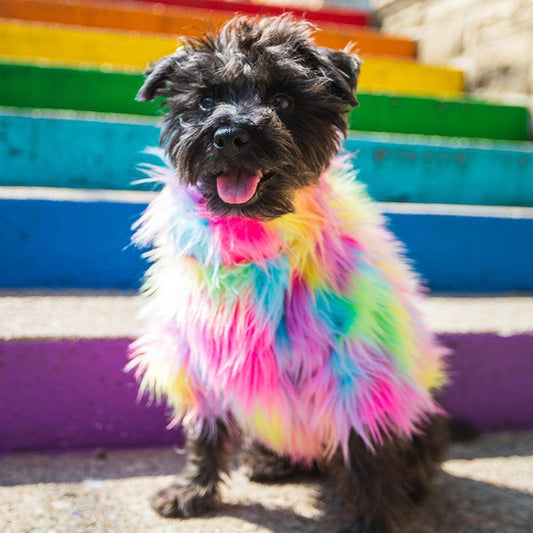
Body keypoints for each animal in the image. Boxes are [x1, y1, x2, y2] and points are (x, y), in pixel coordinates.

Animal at [130, 14, 448, 528]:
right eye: (205, 100)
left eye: (282, 99)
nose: (230, 135)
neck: (254, 237)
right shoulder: (200, 357)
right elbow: (204, 433)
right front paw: (193, 490)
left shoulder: (356, 371)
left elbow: (366, 452)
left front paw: (377, 518)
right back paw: (272, 460)